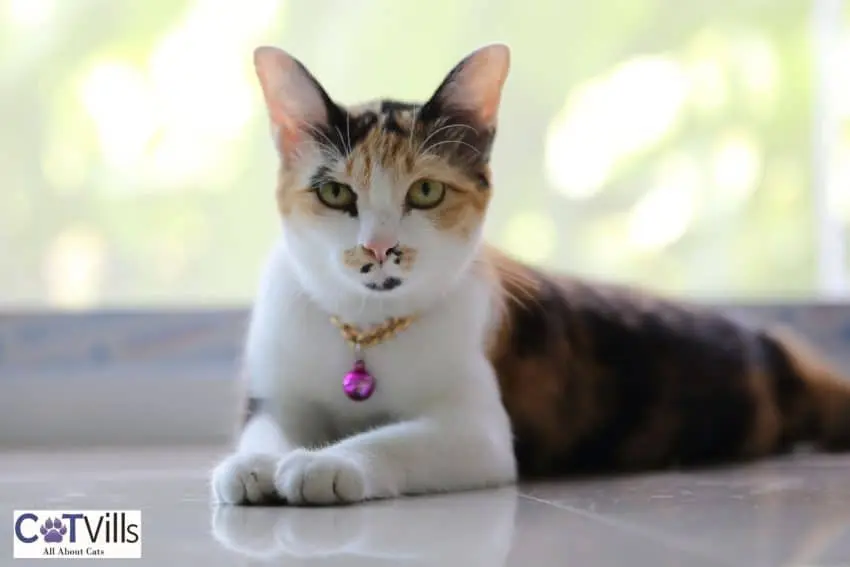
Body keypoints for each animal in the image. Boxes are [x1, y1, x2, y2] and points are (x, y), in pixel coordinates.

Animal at [210, 43, 848, 506]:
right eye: (336, 193)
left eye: (426, 191)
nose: (379, 248)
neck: (367, 328)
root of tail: (775, 347)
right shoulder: (274, 394)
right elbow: (267, 428)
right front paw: (253, 464)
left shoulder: (478, 433)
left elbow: (396, 440)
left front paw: (326, 461)